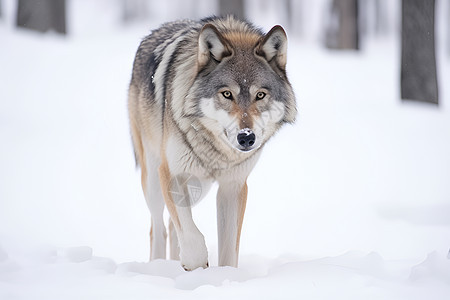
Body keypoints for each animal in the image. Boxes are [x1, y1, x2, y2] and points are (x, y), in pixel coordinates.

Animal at [127, 15, 296, 270]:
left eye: (260, 95)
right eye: (227, 94)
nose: (246, 137)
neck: (217, 152)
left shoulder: (233, 186)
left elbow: (228, 252)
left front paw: (222, 276)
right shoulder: (171, 173)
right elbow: (192, 239)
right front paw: (196, 265)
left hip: (199, 187)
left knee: (171, 226)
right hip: (154, 179)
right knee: (158, 228)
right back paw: (158, 267)